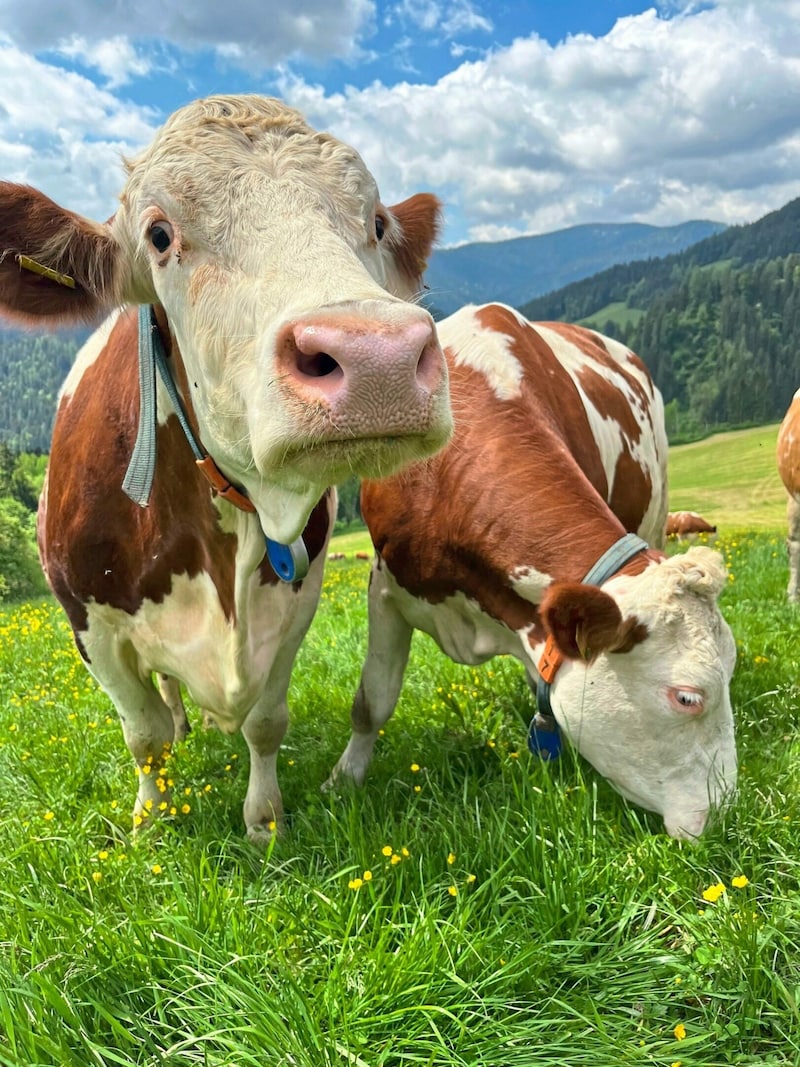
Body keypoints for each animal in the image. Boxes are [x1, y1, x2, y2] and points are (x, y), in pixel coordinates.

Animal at [0, 96, 454, 845]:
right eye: (159, 234)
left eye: (377, 223)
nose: (377, 357)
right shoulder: (88, 623)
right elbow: (143, 734)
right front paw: (150, 821)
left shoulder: (298, 600)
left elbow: (266, 723)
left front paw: (265, 823)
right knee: (165, 700)